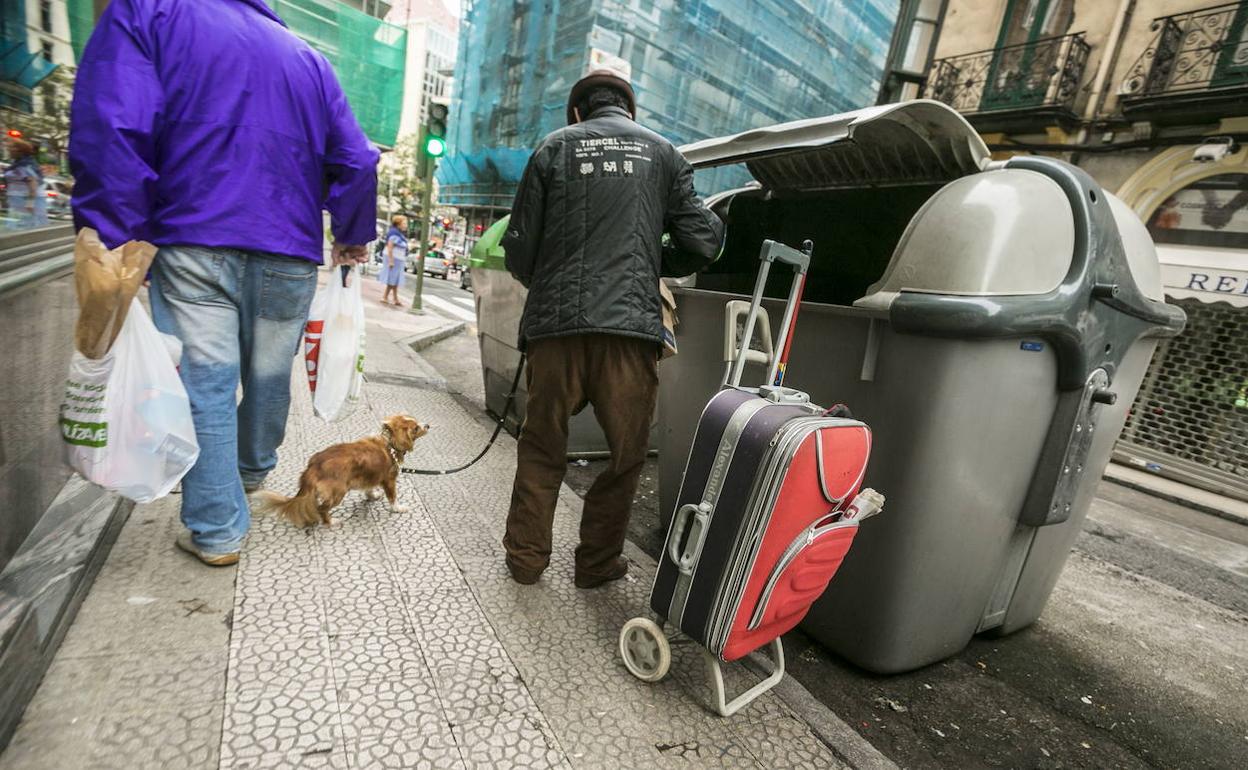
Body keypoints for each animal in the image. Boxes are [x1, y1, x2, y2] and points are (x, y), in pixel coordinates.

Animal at [255, 414, 431, 529]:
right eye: (416, 428)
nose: (428, 425)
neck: (389, 443)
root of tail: (314, 467)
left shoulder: (370, 476)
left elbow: (369, 488)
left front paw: (372, 496)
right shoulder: (389, 480)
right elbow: (393, 497)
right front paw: (398, 508)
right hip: (338, 492)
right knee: (321, 509)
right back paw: (331, 522)